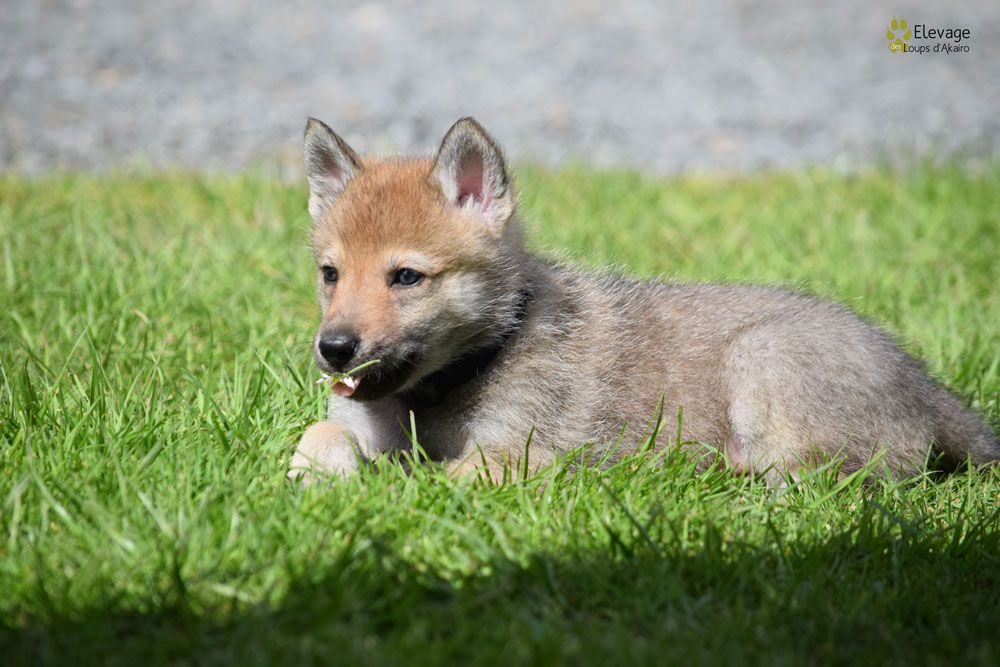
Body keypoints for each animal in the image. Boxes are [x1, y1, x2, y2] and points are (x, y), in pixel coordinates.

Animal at [288, 116, 999, 485]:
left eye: (406, 277)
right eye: (330, 274)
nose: (334, 348)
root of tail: (923, 383)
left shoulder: (517, 454)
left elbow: (437, 476)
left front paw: (393, 486)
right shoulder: (356, 423)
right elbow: (319, 436)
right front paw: (316, 476)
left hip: (765, 360)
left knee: (828, 473)